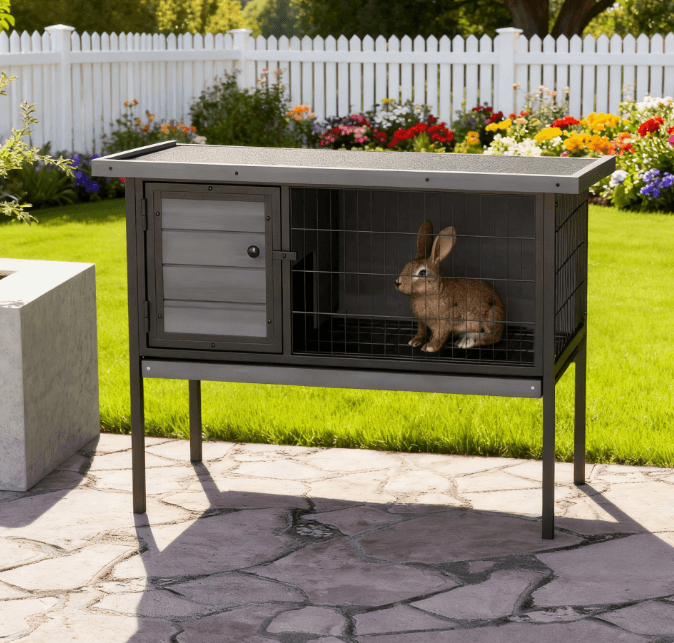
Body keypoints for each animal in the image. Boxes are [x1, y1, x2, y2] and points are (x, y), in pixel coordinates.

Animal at [394, 220, 505, 353]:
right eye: (407, 265)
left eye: (422, 273)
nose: (398, 282)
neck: (432, 292)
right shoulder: (421, 321)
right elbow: (421, 332)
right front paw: (414, 342)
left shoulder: (443, 322)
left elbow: (439, 335)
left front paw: (429, 347)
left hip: (490, 316)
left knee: (493, 336)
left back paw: (468, 342)